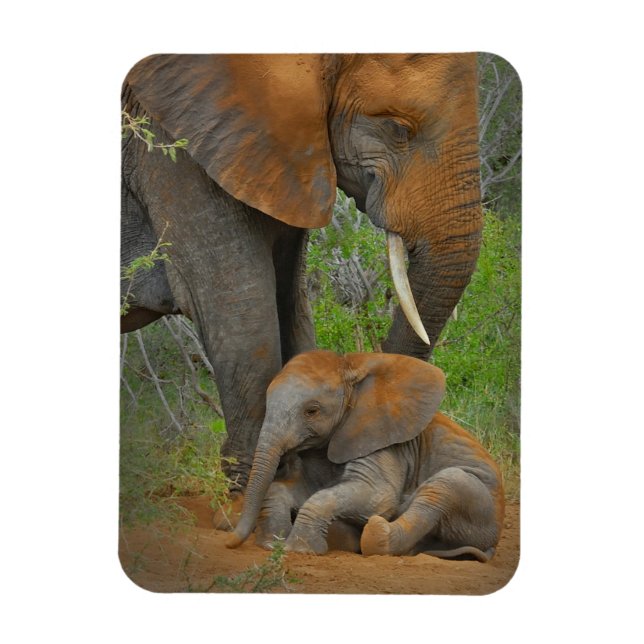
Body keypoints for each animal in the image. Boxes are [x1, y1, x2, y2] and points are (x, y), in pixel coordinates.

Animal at [226, 350, 505, 561]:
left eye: (312, 411)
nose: (229, 543)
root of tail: (493, 542)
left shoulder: (383, 442)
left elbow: (377, 496)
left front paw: (300, 550)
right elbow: (298, 489)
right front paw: (272, 544)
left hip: (479, 505)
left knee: (443, 487)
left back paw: (376, 532)